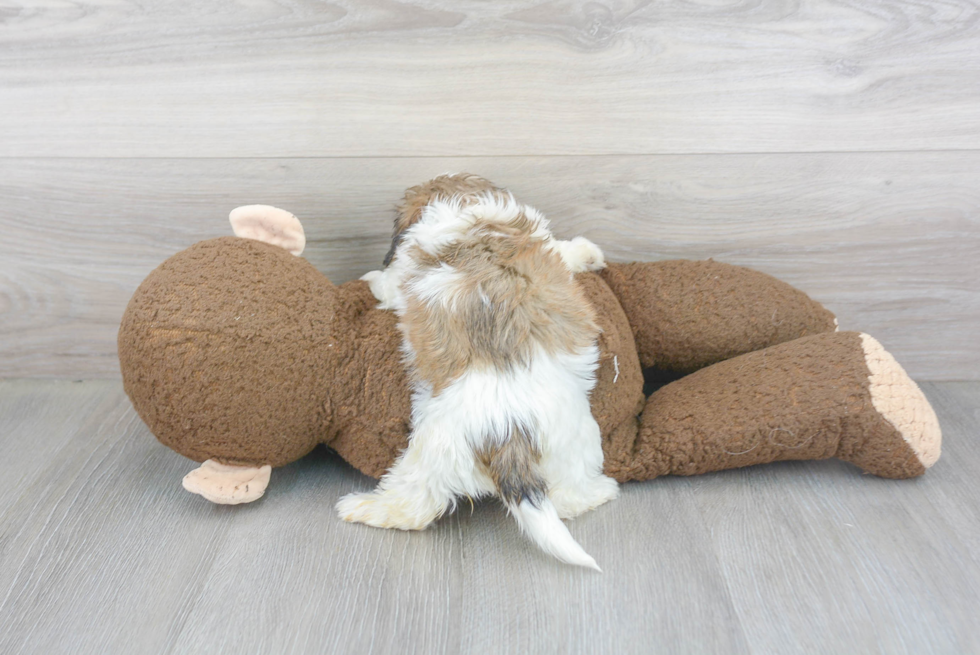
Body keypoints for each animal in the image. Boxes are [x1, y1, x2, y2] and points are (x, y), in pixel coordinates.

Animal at [334, 174, 616, 568]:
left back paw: (362, 507)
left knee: (415, 505)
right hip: (577, 440)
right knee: (568, 499)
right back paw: (602, 491)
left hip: (432, 449)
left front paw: (371, 278)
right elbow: (561, 250)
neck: (471, 210)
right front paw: (586, 254)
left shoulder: (403, 271)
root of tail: (511, 430)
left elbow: (387, 282)